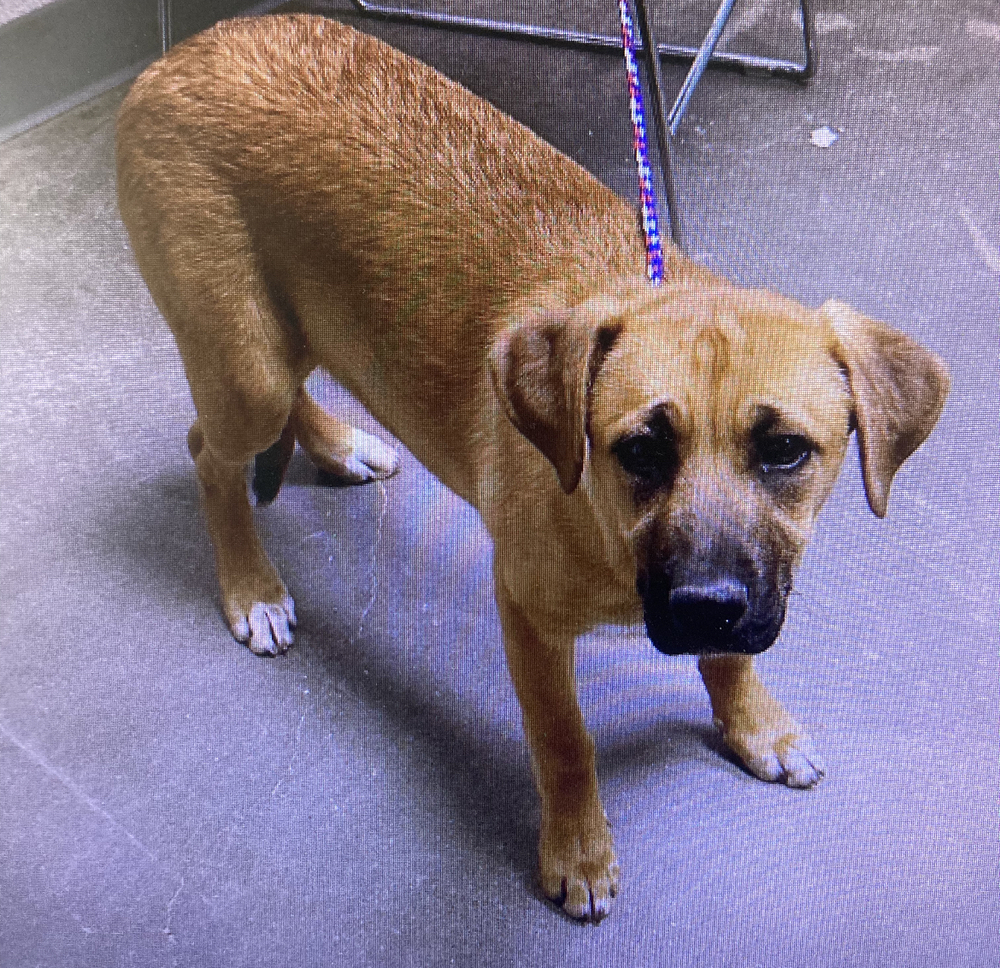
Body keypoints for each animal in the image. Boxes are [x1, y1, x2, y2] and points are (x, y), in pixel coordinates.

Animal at [113, 17, 948, 924]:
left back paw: (337, 446)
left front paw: (753, 724)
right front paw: (577, 852)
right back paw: (251, 588)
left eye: (786, 451)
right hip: (245, 369)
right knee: (210, 456)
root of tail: (185, 52)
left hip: (287, 331)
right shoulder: (526, 613)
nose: (702, 608)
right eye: (639, 450)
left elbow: (731, 661)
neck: (603, 527)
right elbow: (565, 739)